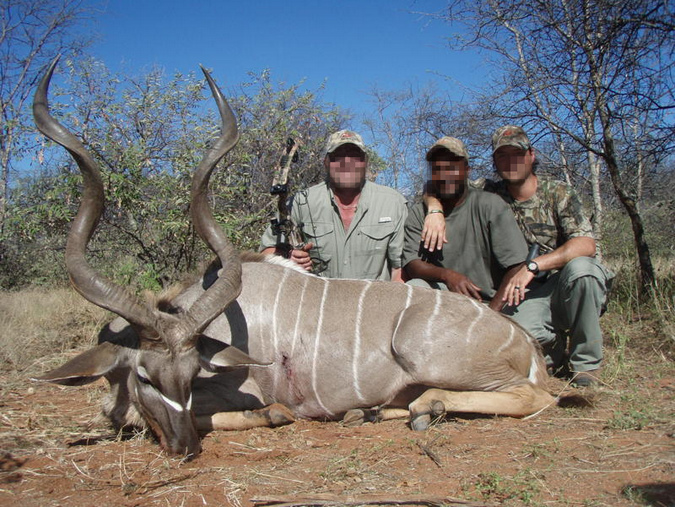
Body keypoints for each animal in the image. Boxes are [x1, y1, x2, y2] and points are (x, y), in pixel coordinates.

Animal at [33, 60, 556, 460]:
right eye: (145, 375)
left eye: (191, 376)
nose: (185, 450)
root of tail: (526, 346)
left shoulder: (237, 390)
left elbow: (179, 415)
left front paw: (270, 415)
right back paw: (368, 412)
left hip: (434, 357)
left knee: (533, 396)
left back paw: (428, 407)